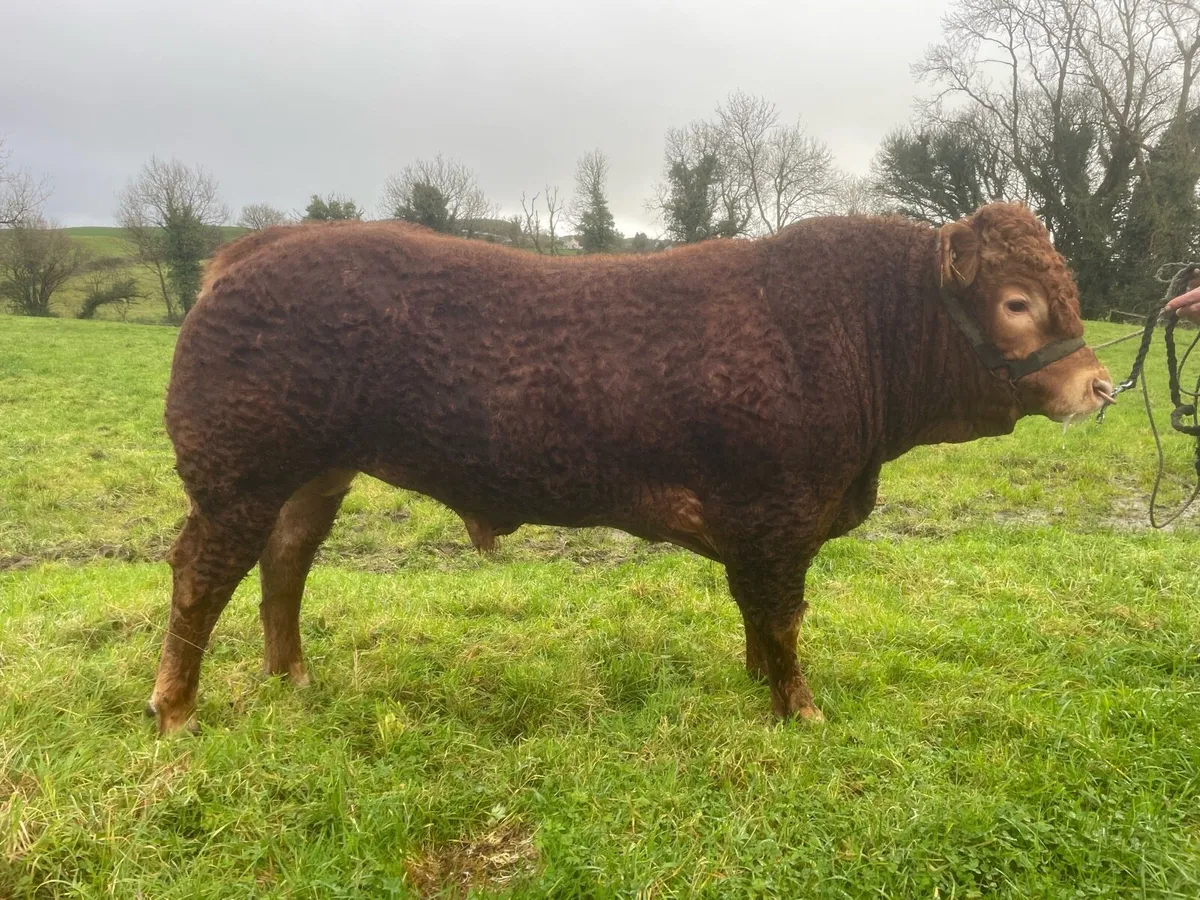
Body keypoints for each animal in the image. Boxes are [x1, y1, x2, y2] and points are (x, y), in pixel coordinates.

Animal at [147, 202, 1113, 733]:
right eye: (1017, 302)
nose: (1100, 386)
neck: (848, 333)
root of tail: (255, 250)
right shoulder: (778, 510)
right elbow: (786, 617)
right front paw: (799, 709)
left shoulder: (762, 523)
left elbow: (760, 614)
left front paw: (756, 682)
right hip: (236, 475)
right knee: (202, 575)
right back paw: (178, 710)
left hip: (314, 474)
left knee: (284, 564)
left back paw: (292, 677)